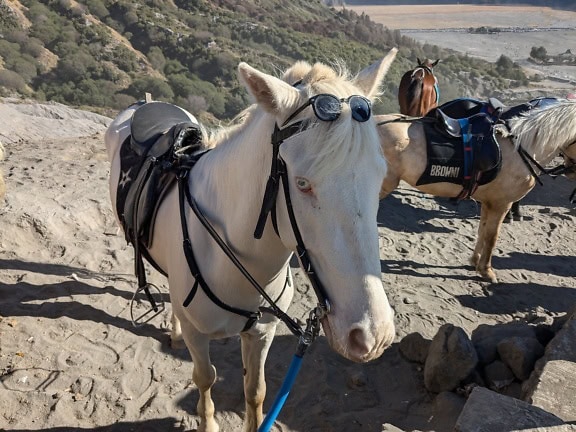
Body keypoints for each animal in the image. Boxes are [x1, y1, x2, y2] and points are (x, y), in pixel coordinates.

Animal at [104, 48, 396, 432]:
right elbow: (205, 377)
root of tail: (145, 103)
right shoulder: (199, 336)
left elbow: (255, 390)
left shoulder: (262, 333)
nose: (372, 335)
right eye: (302, 184)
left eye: (380, 176)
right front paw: (208, 423)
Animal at [376, 101, 576, 284]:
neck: (520, 148)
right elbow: (492, 237)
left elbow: (482, 231)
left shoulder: (488, 203)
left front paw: (474, 262)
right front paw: (486, 271)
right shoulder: (501, 204)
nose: (571, 173)